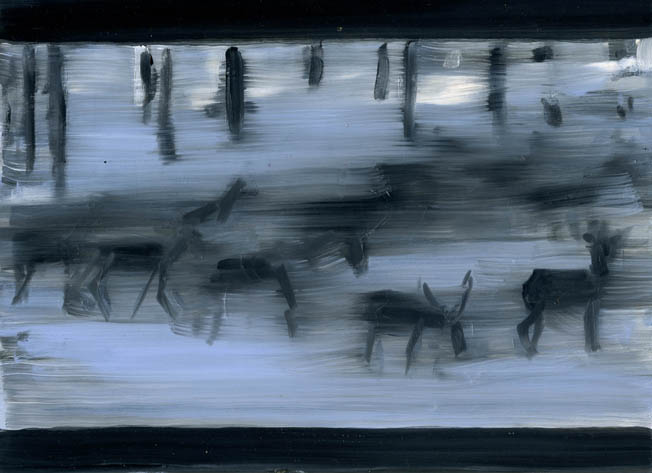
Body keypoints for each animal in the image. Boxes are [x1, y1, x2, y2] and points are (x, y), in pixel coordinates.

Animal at [518, 222, 623, 357]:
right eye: (594, 244)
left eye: (609, 242)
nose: (607, 251)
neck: (597, 278)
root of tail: (525, 286)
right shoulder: (591, 299)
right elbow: (590, 321)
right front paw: (592, 349)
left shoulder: (594, 300)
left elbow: (592, 321)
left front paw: (594, 348)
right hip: (538, 302)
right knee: (522, 327)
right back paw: (532, 352)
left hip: (534, 306)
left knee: (537, 328)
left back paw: (534, 352)